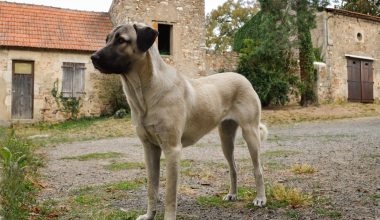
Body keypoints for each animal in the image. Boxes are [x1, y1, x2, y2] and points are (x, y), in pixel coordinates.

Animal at [91, 23, 268, 219]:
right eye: (107, 39)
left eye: (121, 40)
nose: (93, 57)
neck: (145, 93)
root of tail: (243, 78)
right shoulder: (149, 149)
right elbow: (152, 189)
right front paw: (149, 215)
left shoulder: (172, 150)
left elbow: (170, 194)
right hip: (226, 139)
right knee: (233, 167)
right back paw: (232, 194)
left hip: (251, 134)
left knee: (258, 169)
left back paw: (260, 198)